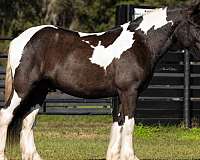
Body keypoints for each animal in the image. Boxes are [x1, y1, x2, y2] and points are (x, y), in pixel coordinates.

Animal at [0, 1, 200, 160]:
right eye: (196, 25)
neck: (140, 43)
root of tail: (20, 39)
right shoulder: (130, 92)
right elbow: (129, 124)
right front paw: (130, 156)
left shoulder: (122, 94)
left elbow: (119, 123)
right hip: (23, 88)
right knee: (6, 115)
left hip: (39, 91)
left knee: (28, 122)